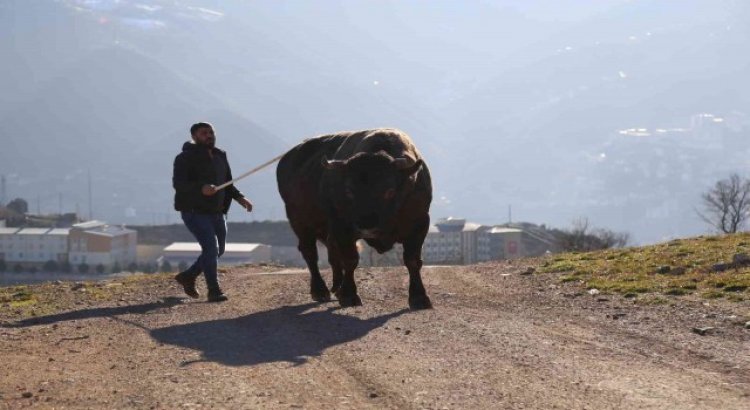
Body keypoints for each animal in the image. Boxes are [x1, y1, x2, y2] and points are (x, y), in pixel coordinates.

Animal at [278, 128, 434, 308]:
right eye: (349, 191)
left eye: (389, 191)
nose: (367, 225)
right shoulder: (342, 227)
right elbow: (350, 260)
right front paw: (349, 296)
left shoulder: (419, 224)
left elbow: (413, 260)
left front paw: (419, 297)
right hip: (300, 223)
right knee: (310, 254)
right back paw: (320, 291)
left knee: (331, 253)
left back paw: (336, 287)